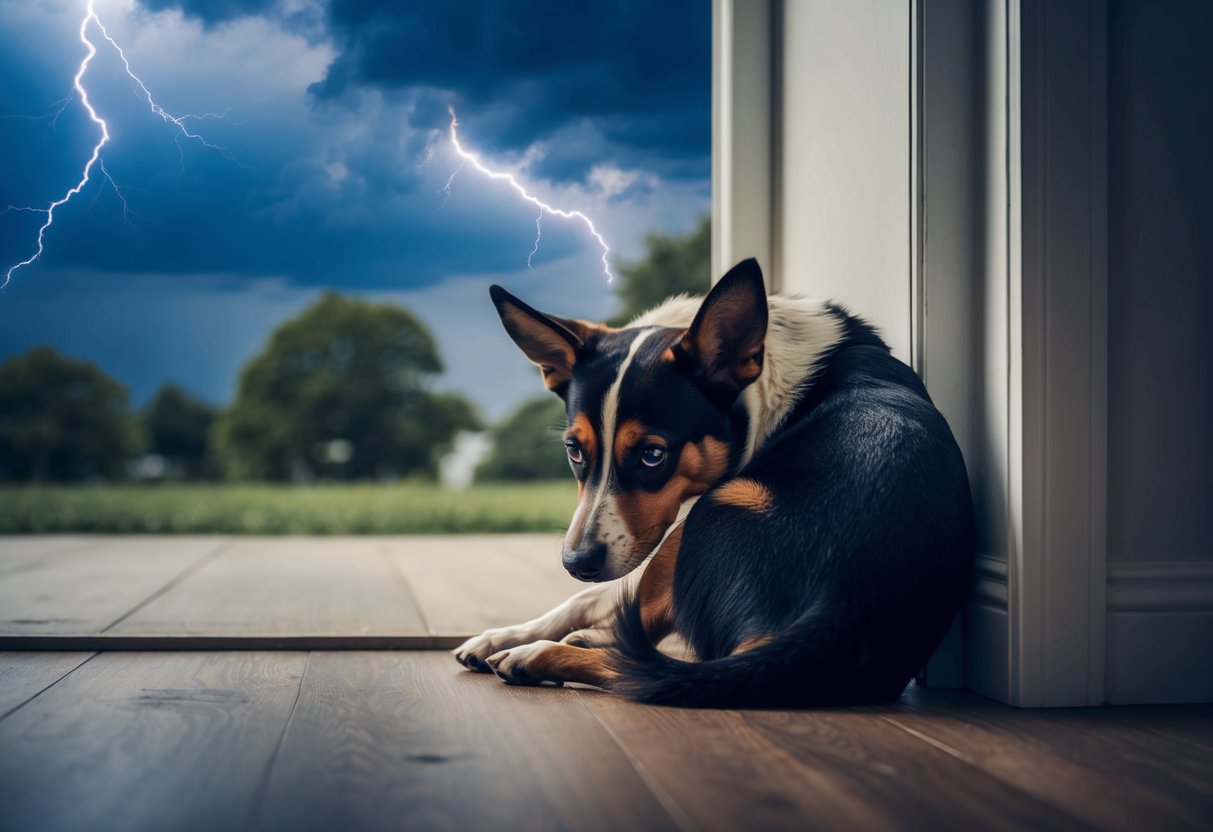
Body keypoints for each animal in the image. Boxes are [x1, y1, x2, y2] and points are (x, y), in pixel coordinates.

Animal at [456, 257, 975, 708]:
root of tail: (837, 607)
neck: (766, 386)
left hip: (711, 509)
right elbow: (594, 597)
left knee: (639, 658)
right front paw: (503, 633)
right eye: (574, 450)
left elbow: (598, 596)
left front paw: (518, 638)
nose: (576, 562)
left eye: (653, 454)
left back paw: (541, 654)